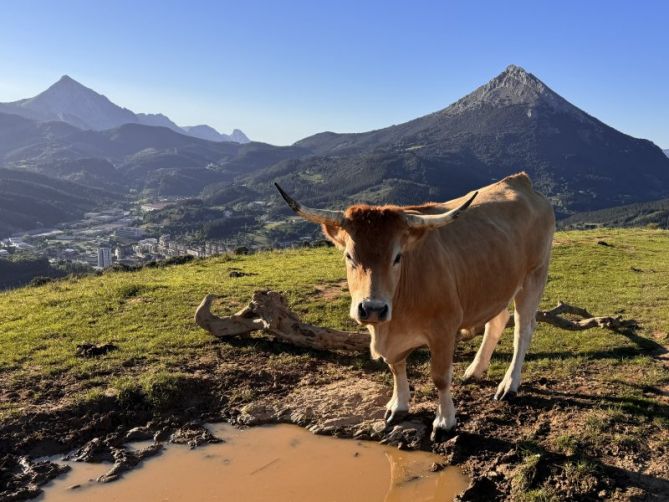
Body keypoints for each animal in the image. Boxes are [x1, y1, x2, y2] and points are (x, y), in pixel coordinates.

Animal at [274, 174, 556, 440]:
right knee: (497, 321)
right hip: (494, 286)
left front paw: (444, 420)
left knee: (522, 329)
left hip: (534, 276)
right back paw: (475, 370)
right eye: (349, 256)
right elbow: (395, 366)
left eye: (397, 257)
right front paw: (398, 405)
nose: (373, 308)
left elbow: (440, 376)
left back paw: (509, 384)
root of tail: (520, 181)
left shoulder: (444, 329)